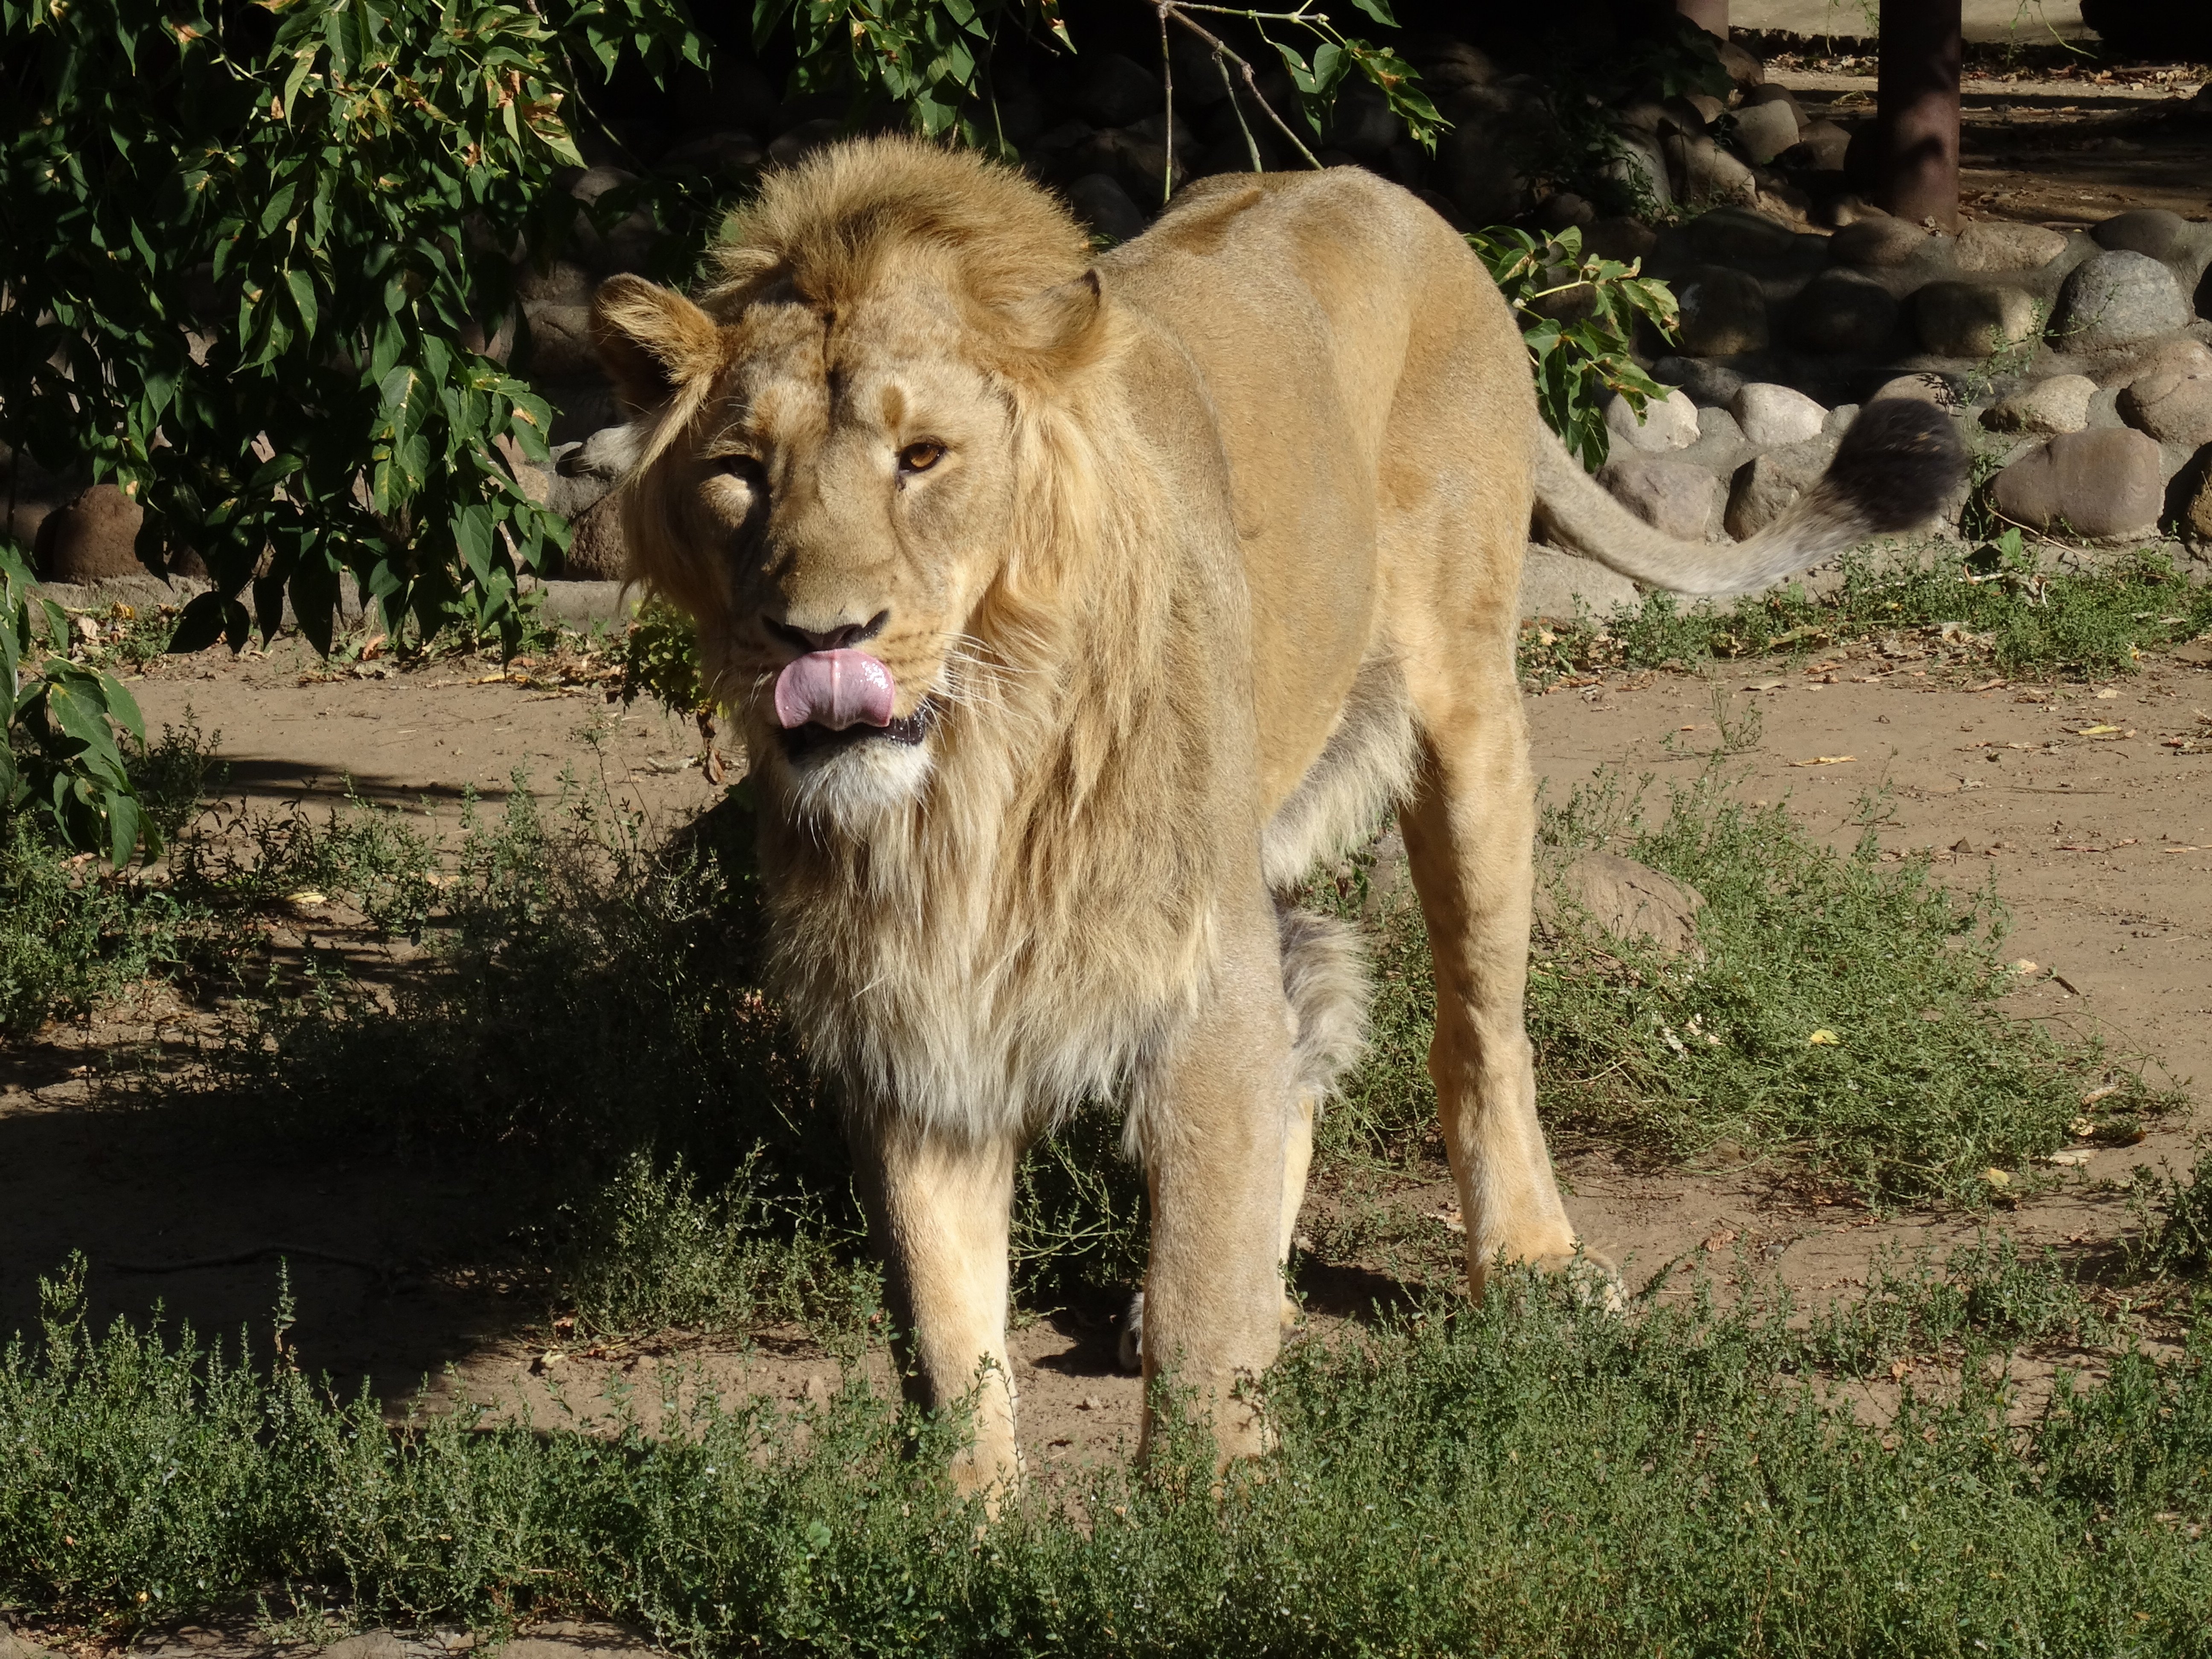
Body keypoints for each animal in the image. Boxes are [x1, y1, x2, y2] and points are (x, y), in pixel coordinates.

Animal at [584, 137, 1955, 1504]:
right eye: (739, 473)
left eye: (922, 457)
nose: (816, 639)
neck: (975, 772)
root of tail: (1389, 196)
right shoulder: (919, 1011)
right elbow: (946, 1325)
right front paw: (966, 1526)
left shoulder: (1199, 969)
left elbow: (1201, 1304)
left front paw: (1214, 1514)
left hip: (1467, 715)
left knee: (1478, 1031)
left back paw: (1528, 1264)